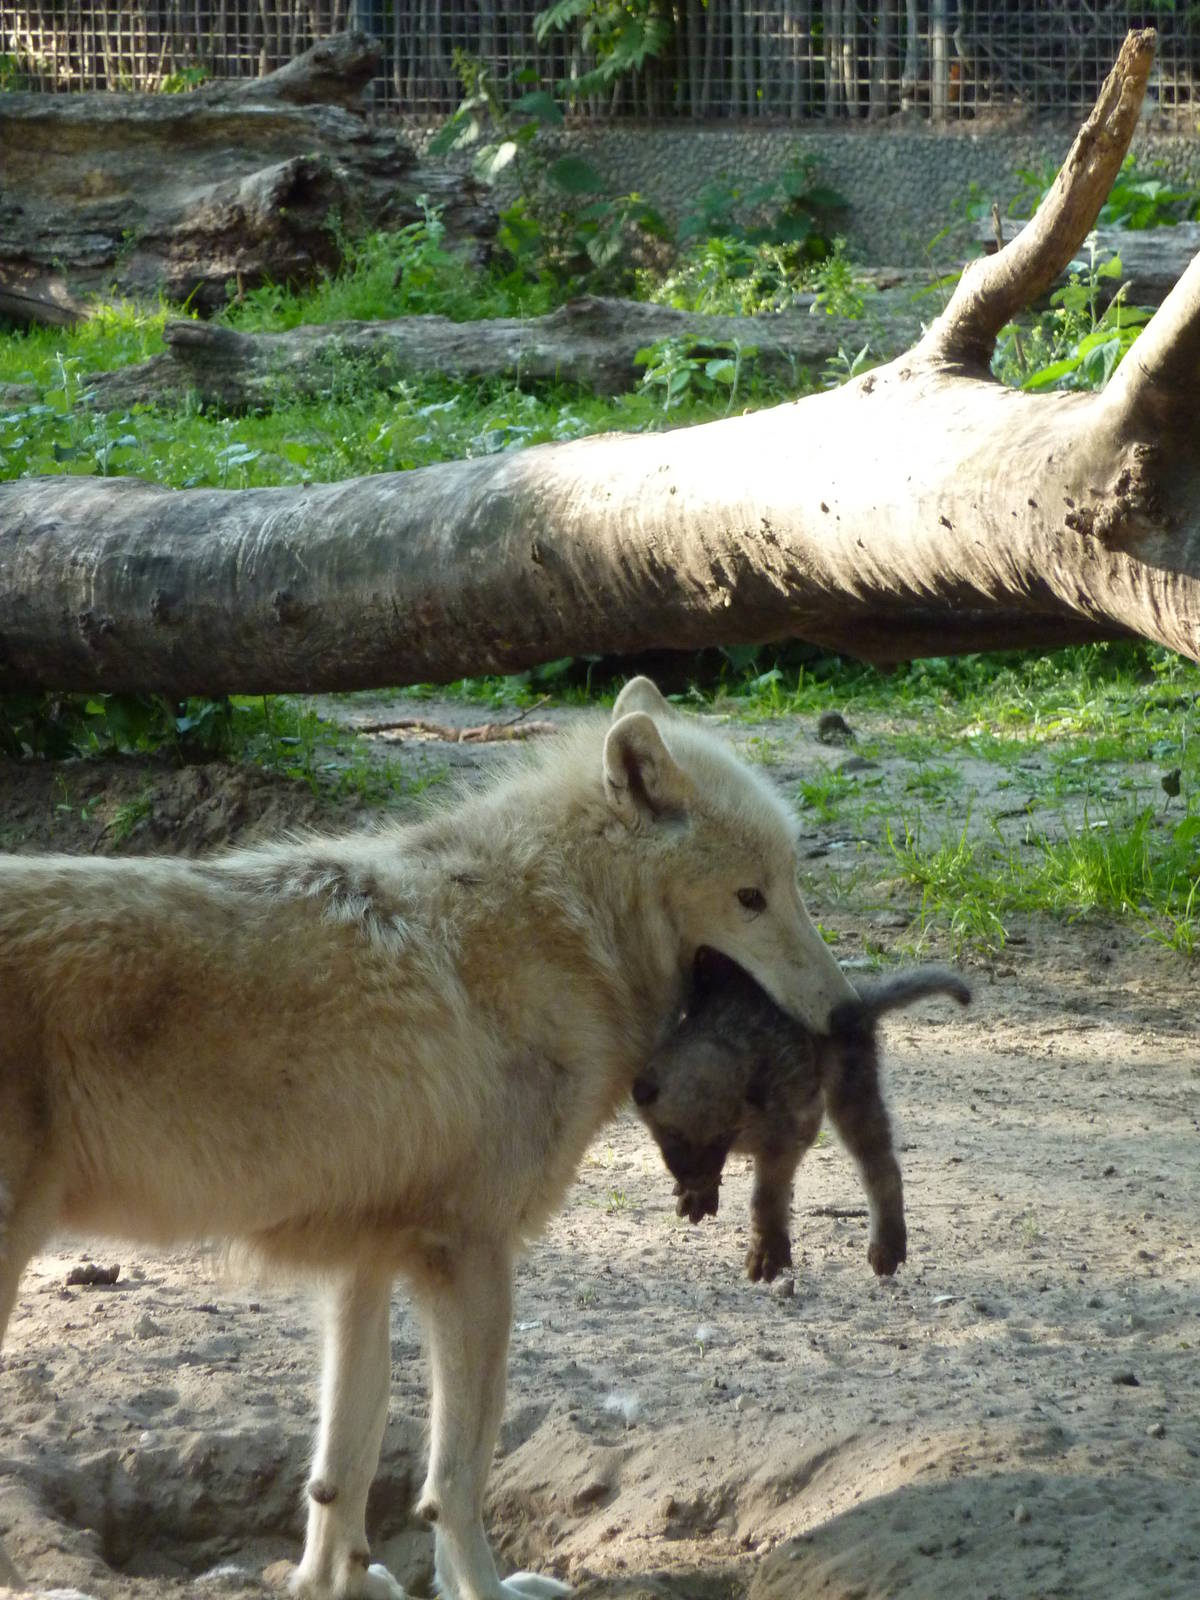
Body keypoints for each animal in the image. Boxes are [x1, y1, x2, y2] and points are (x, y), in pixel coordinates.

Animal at [0, 678, 854, 1600]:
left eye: (793, 883)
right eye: (749, 899)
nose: (847, 1014)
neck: (563, 930)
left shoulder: (366, 1264)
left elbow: (344, 1465)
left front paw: (331, 1584)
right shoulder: (472, 1254)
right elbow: (458, 1475)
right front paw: (484, 1589)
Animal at [632, 950, 970, 1283]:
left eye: (723, 1135)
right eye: (671, 1134)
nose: (697, 1179)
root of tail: (858, 1001)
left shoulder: (784, 1141)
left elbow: (766, 1199)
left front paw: (767, 1252)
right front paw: (698, 1194)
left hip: (851, 1092)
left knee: (882, 1169)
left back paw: (887, 1245)